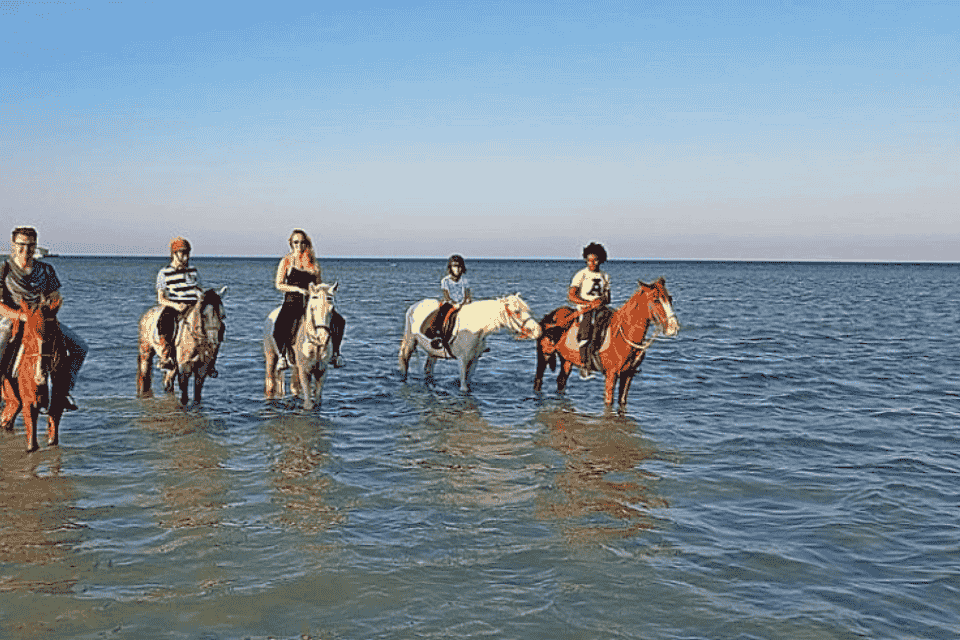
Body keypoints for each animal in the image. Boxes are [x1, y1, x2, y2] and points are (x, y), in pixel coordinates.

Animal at [1, 299, 71, 452]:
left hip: (13, 401)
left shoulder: (57, 406)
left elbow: (53, 440)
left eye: (51, 336)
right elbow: (32, 446)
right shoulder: (29, 405)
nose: (39, 377)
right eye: (27, 336)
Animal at [399, 293, 542, 392]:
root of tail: (414, 306)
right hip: (410, 342)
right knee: (405, 362)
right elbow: (464, 387)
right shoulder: (462, 360)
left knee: (428, 369)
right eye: (517, 312)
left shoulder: (474, 360)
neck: (476, 327)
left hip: (432, 351)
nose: (538, 330)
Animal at [533, 278, 679, 409]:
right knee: (538, 380)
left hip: (567, 360)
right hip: (544, 355)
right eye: (656, 300)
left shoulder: (628, 374)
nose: (674, 327)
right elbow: (609, 402)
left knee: (561, 381)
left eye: (670, 298)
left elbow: (622, 402)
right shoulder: (611, 375)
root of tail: (550, 317)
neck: (623, 334)